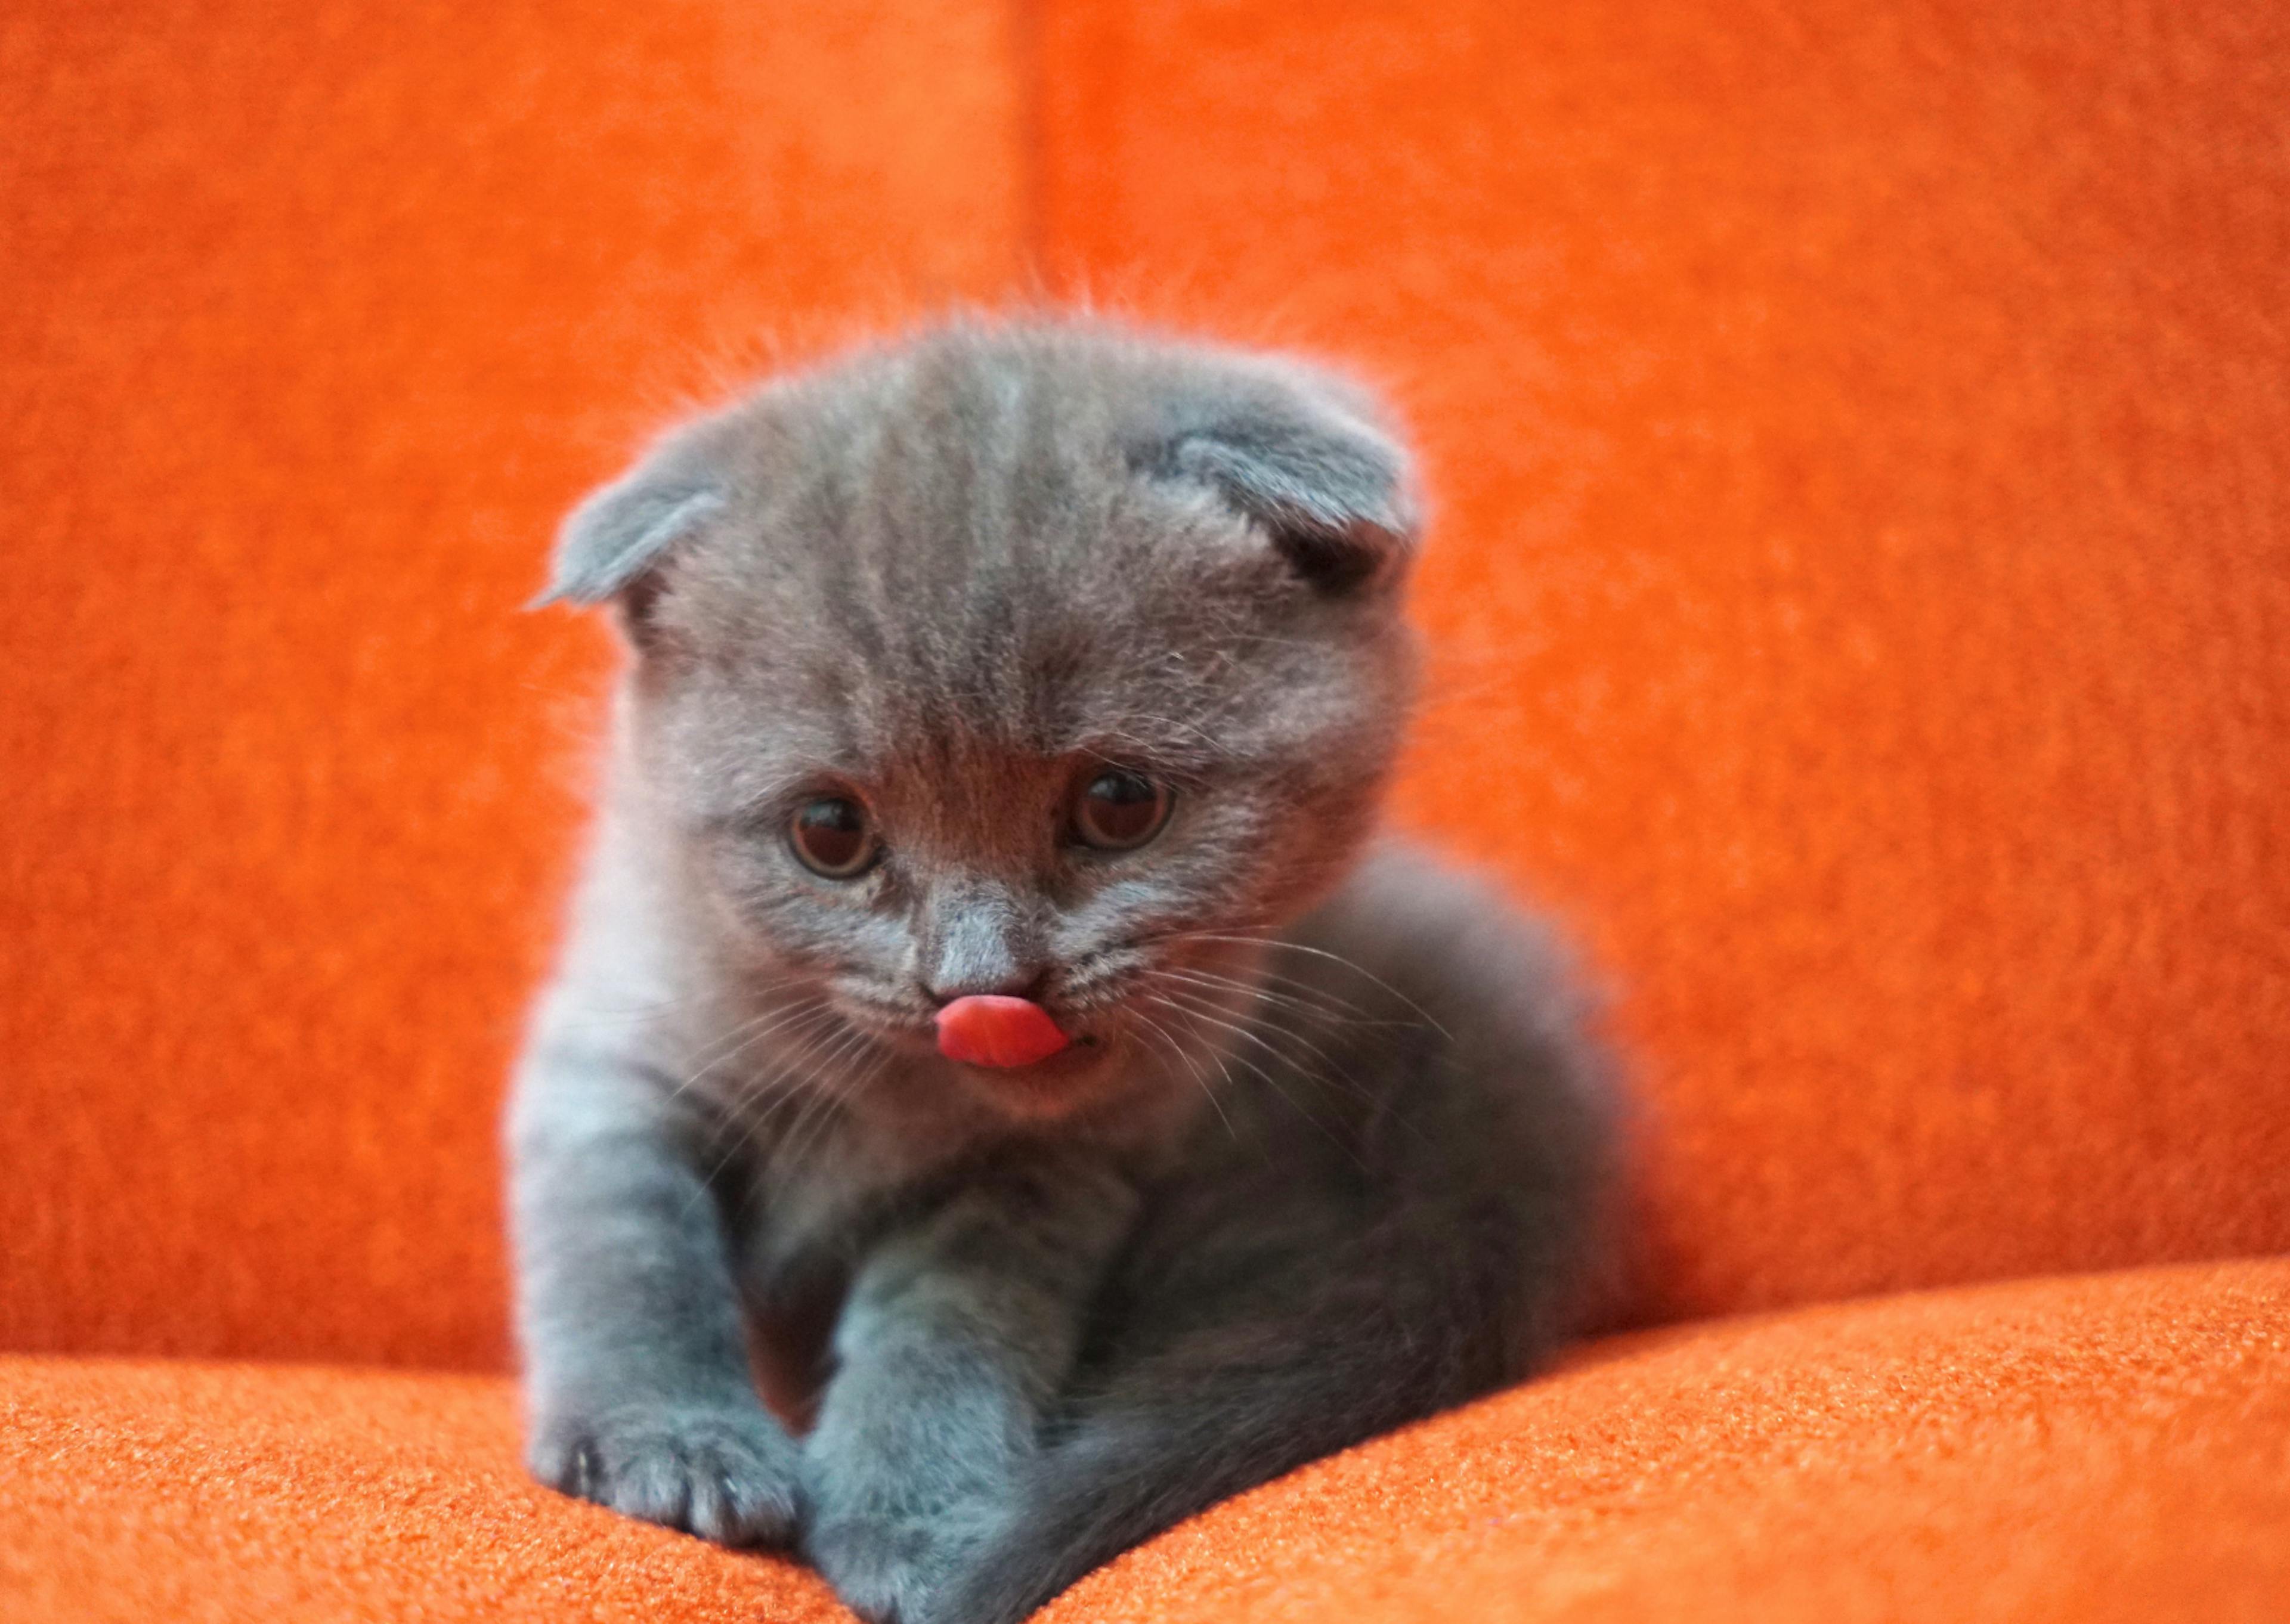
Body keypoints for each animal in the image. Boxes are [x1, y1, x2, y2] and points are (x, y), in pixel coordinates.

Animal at [510, 316, 1621, 1622]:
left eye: (1119, 802)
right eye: (829, 832)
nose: (982, 984)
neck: (899, 1100)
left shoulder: (1061, 1169)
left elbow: (951, 1334)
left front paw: (918, 1527)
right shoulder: (617, 1054)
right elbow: (623, 1252)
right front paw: (668, 1444)